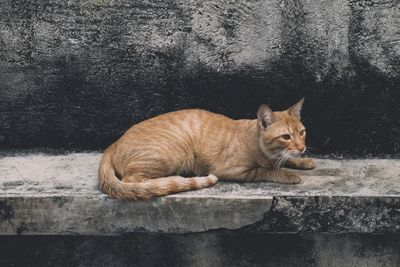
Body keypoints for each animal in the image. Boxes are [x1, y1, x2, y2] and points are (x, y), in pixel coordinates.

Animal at [97, 99, 316, 201]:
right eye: (286, 137)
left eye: (302, 132)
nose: (301, 147)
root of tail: (113, 143)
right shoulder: (233, 171)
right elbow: (267, 170)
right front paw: (288, 174)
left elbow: (287, 159)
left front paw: (304, 161)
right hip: (173, 154)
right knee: (134, 181)